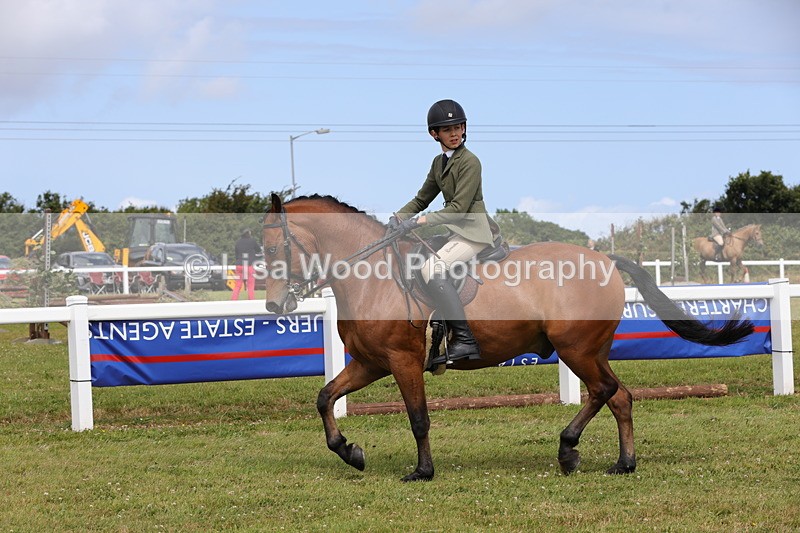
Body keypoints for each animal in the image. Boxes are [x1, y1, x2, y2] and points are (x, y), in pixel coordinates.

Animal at [262, 194, 754, 481]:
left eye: (272, 248)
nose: (274, 306)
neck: (372, 276)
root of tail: (604, 259)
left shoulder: (402, 362)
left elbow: (419, 419)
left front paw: (422, 471)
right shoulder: (370, 362)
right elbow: (325, 397)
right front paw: (350, 452)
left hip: (576, 348)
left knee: (604, 390)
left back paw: (568, 451)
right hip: (591, 349)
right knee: (619, 396)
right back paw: (621, 462)